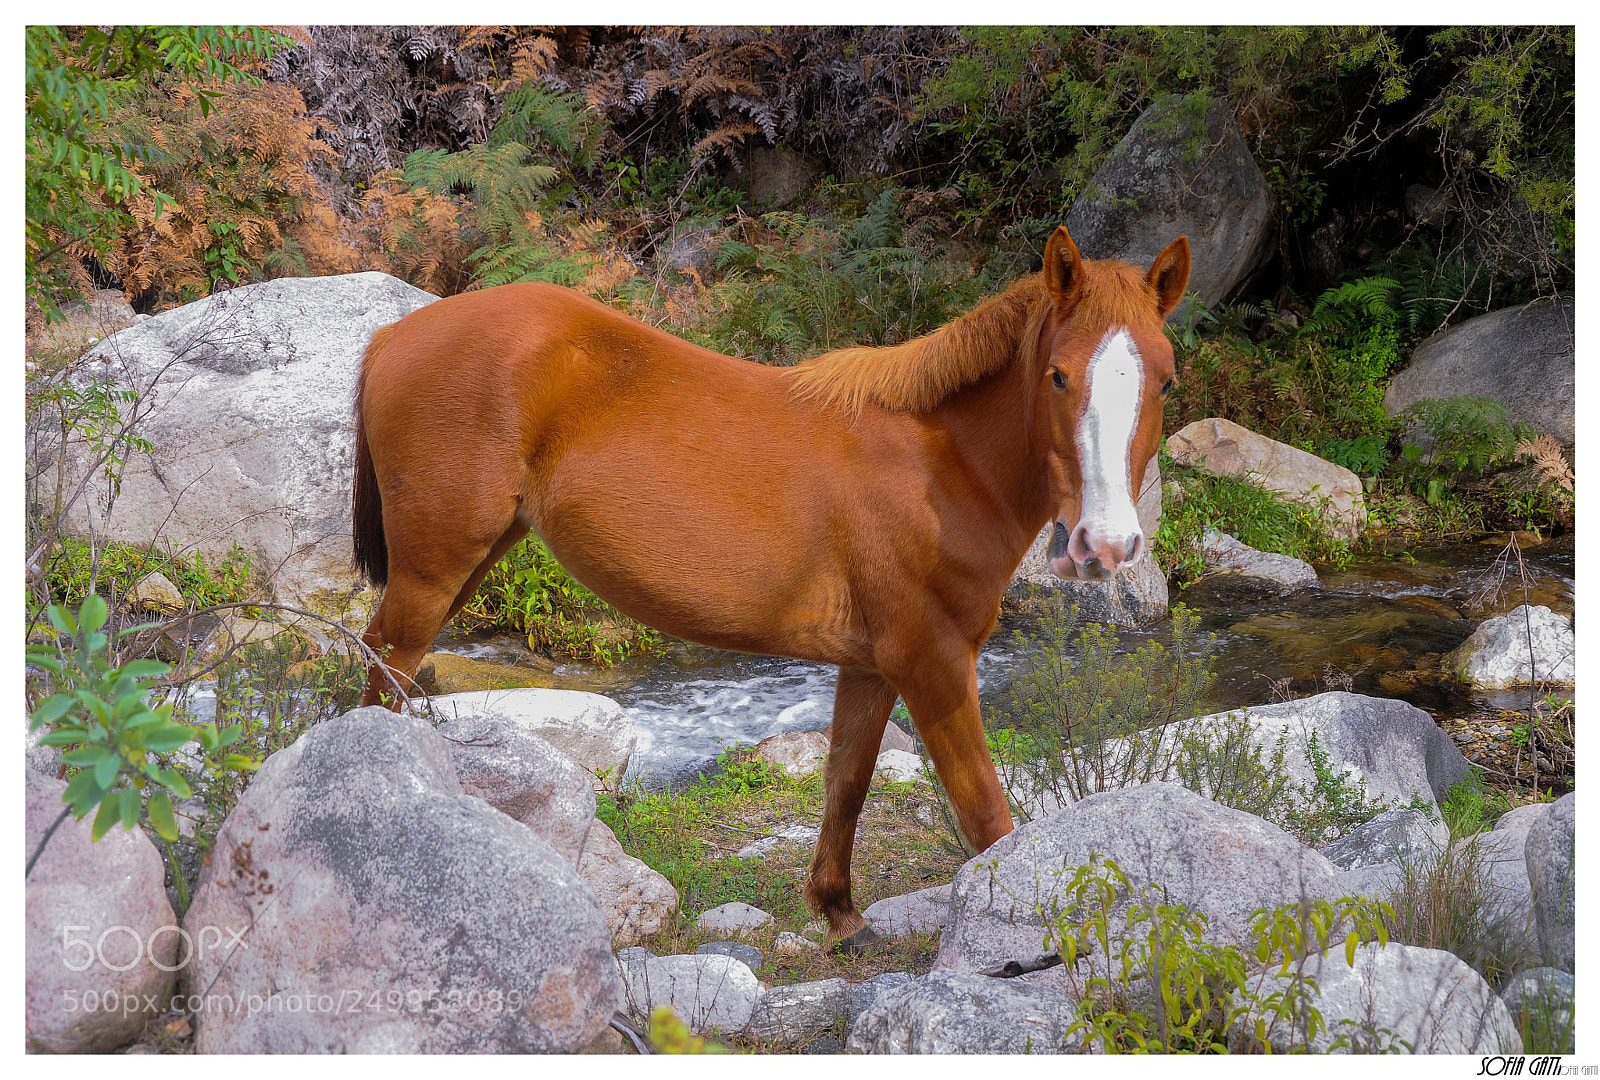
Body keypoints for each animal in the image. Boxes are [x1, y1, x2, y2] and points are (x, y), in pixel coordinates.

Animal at [351, 225, 1189, 950]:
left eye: (1165, 378)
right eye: (1058, 374)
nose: (1106, 544)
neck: (940, 464)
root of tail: (396, 335)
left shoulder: (873, 665)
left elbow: (847, 783)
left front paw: (841, 917)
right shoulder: (936, 660)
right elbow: (987, 815)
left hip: (469, 562)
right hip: (432, 573)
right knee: (380, 682)